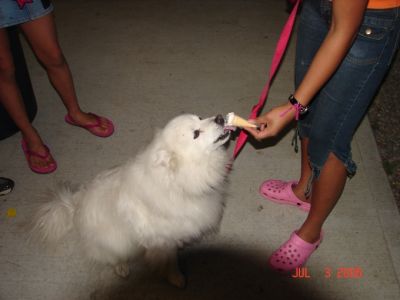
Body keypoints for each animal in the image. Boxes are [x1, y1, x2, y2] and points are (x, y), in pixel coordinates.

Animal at [32, 113, 231, 288]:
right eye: (196, 134)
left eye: (200, 117)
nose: (220, 118)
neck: (176, 179)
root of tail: (75, 206)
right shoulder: (163, 241)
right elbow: (170, 262)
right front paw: (176, 278)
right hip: (114, 243)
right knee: (111, 258)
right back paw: (121, 267)